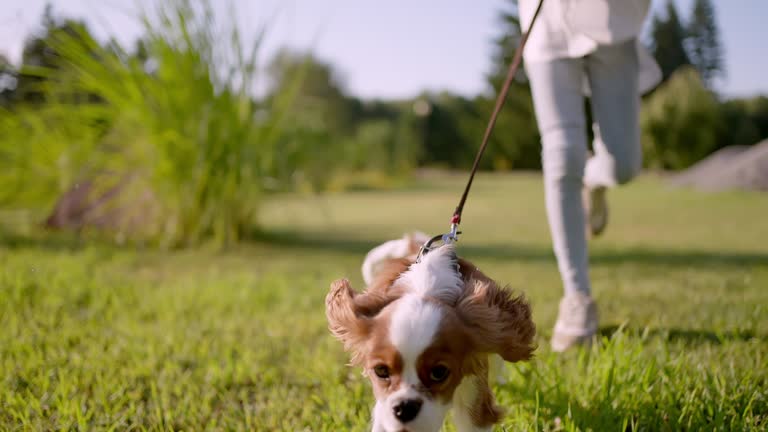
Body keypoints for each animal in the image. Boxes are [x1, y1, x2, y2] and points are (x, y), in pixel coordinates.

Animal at [324, 235, 536, 430]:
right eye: (381, 371)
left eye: (439, 372)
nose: (405, 407)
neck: (426, 288)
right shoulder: (384, 409)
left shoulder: (474, 393)